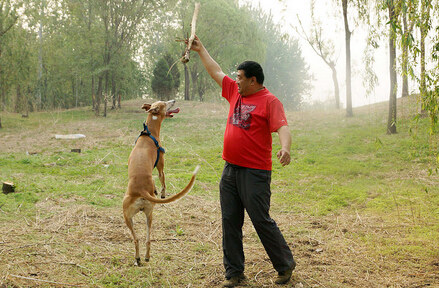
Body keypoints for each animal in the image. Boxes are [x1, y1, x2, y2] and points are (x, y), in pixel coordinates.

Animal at [123, 100, 200, 266]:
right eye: (165, 103)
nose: (174, 101)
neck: (148, 134)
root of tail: (140, 191)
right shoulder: (160, 167)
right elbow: (163, 181)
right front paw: (162, 193)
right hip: (145, 213)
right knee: (147, 239)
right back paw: (145, 256)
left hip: (131, 217)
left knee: (139, 239)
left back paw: (139, 258)